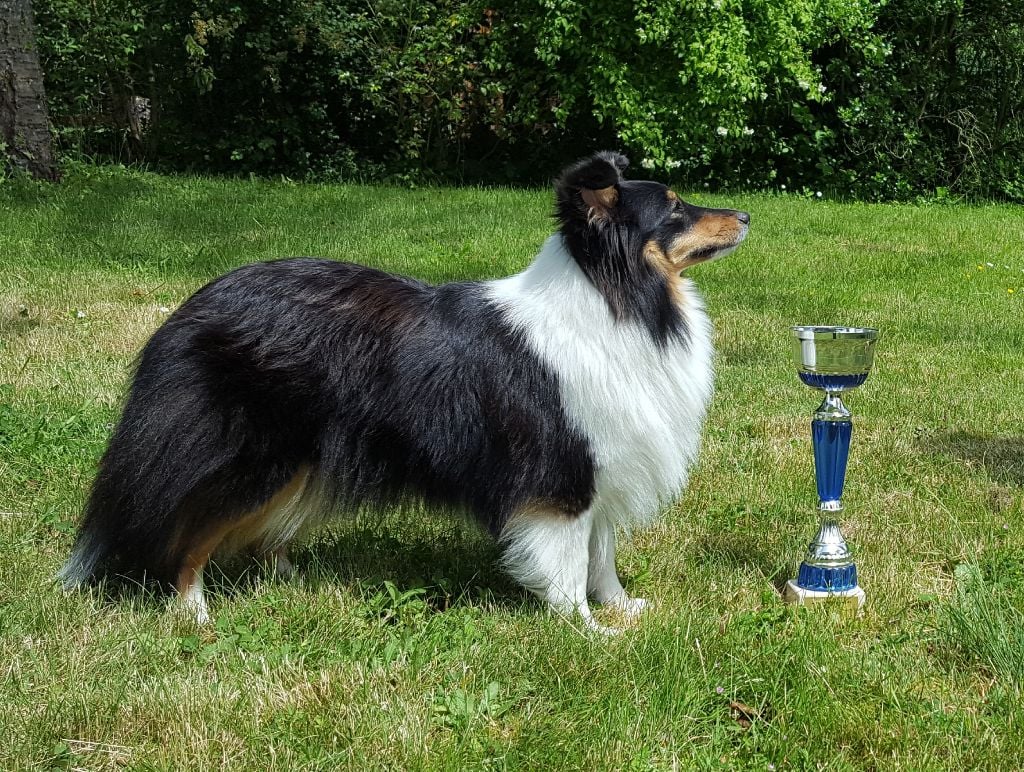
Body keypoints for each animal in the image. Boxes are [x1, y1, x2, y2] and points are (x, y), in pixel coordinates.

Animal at [59, 151, 749, 630]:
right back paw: (193, 612)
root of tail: (188, 310)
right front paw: (587, 632)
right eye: (676, 208)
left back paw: (289, 578)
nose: (745, 214)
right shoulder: (561, 478)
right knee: (191, 528)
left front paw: (624, 609)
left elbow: (600, 558)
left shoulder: (606, 464)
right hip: (253, 457)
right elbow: (567, 566)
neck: (618, 301)